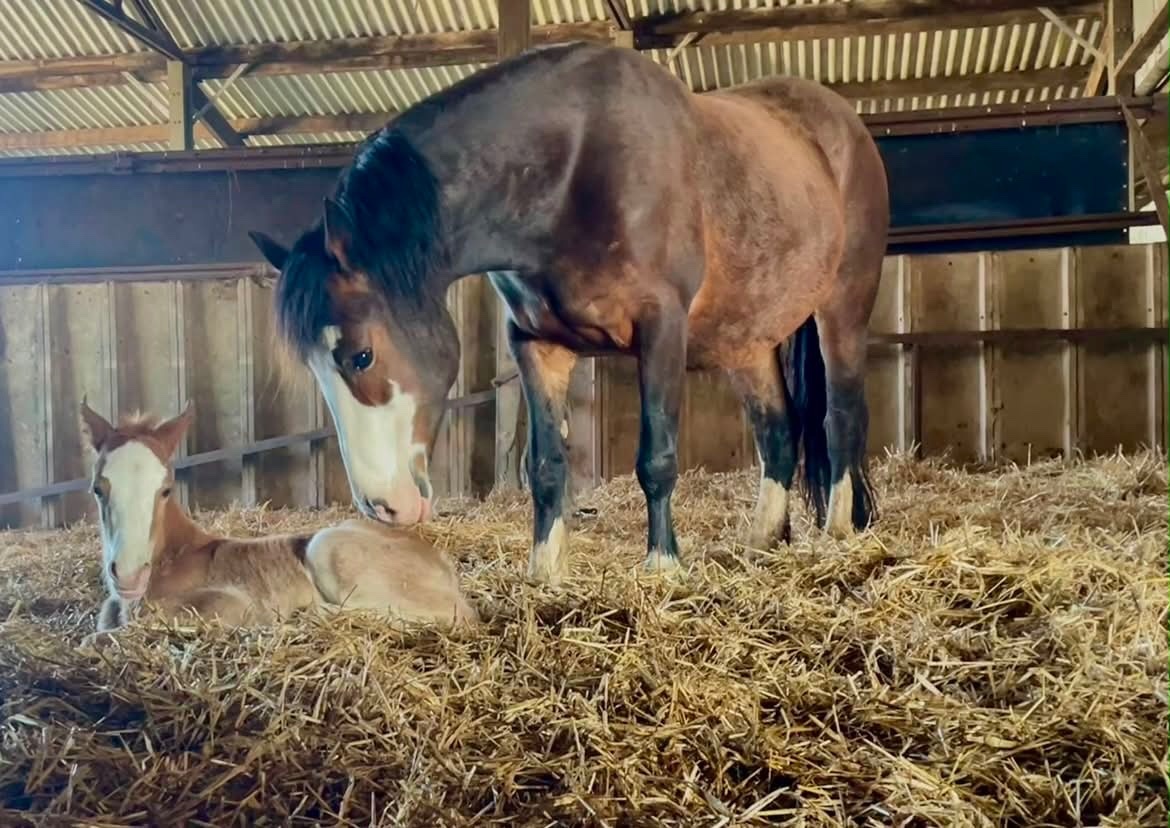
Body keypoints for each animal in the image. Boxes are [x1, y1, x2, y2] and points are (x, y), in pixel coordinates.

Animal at [79, 400, 479, 633]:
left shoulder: (231, 605)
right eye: (97, 488)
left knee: (456, 614)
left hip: (327, 545)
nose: (129, 575)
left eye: (165, 490)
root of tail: (440, 560)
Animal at [248, 41, 888, 586]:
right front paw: (545, 571)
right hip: (747, 339)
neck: (572, 167)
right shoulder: (536, 343)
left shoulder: (662, 327)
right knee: (778, 431)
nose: (384, 507)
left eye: (361, 354)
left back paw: (836, 534)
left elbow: (657, 455)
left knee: (841, 419)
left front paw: (662, 568)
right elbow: (547, 466)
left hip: (842, 311)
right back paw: (761, 540)